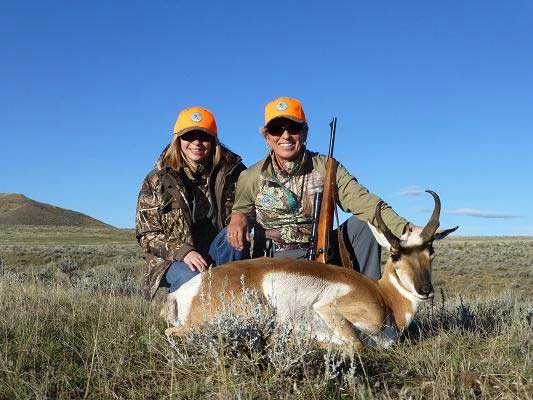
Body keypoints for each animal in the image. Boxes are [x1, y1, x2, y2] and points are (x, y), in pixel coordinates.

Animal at [164, 191, 456, 350]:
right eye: (395, 255)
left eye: (430, 251)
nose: (425, 290)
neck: (383, 296)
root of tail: (187, 289)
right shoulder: (328, 309)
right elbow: (358, 346)